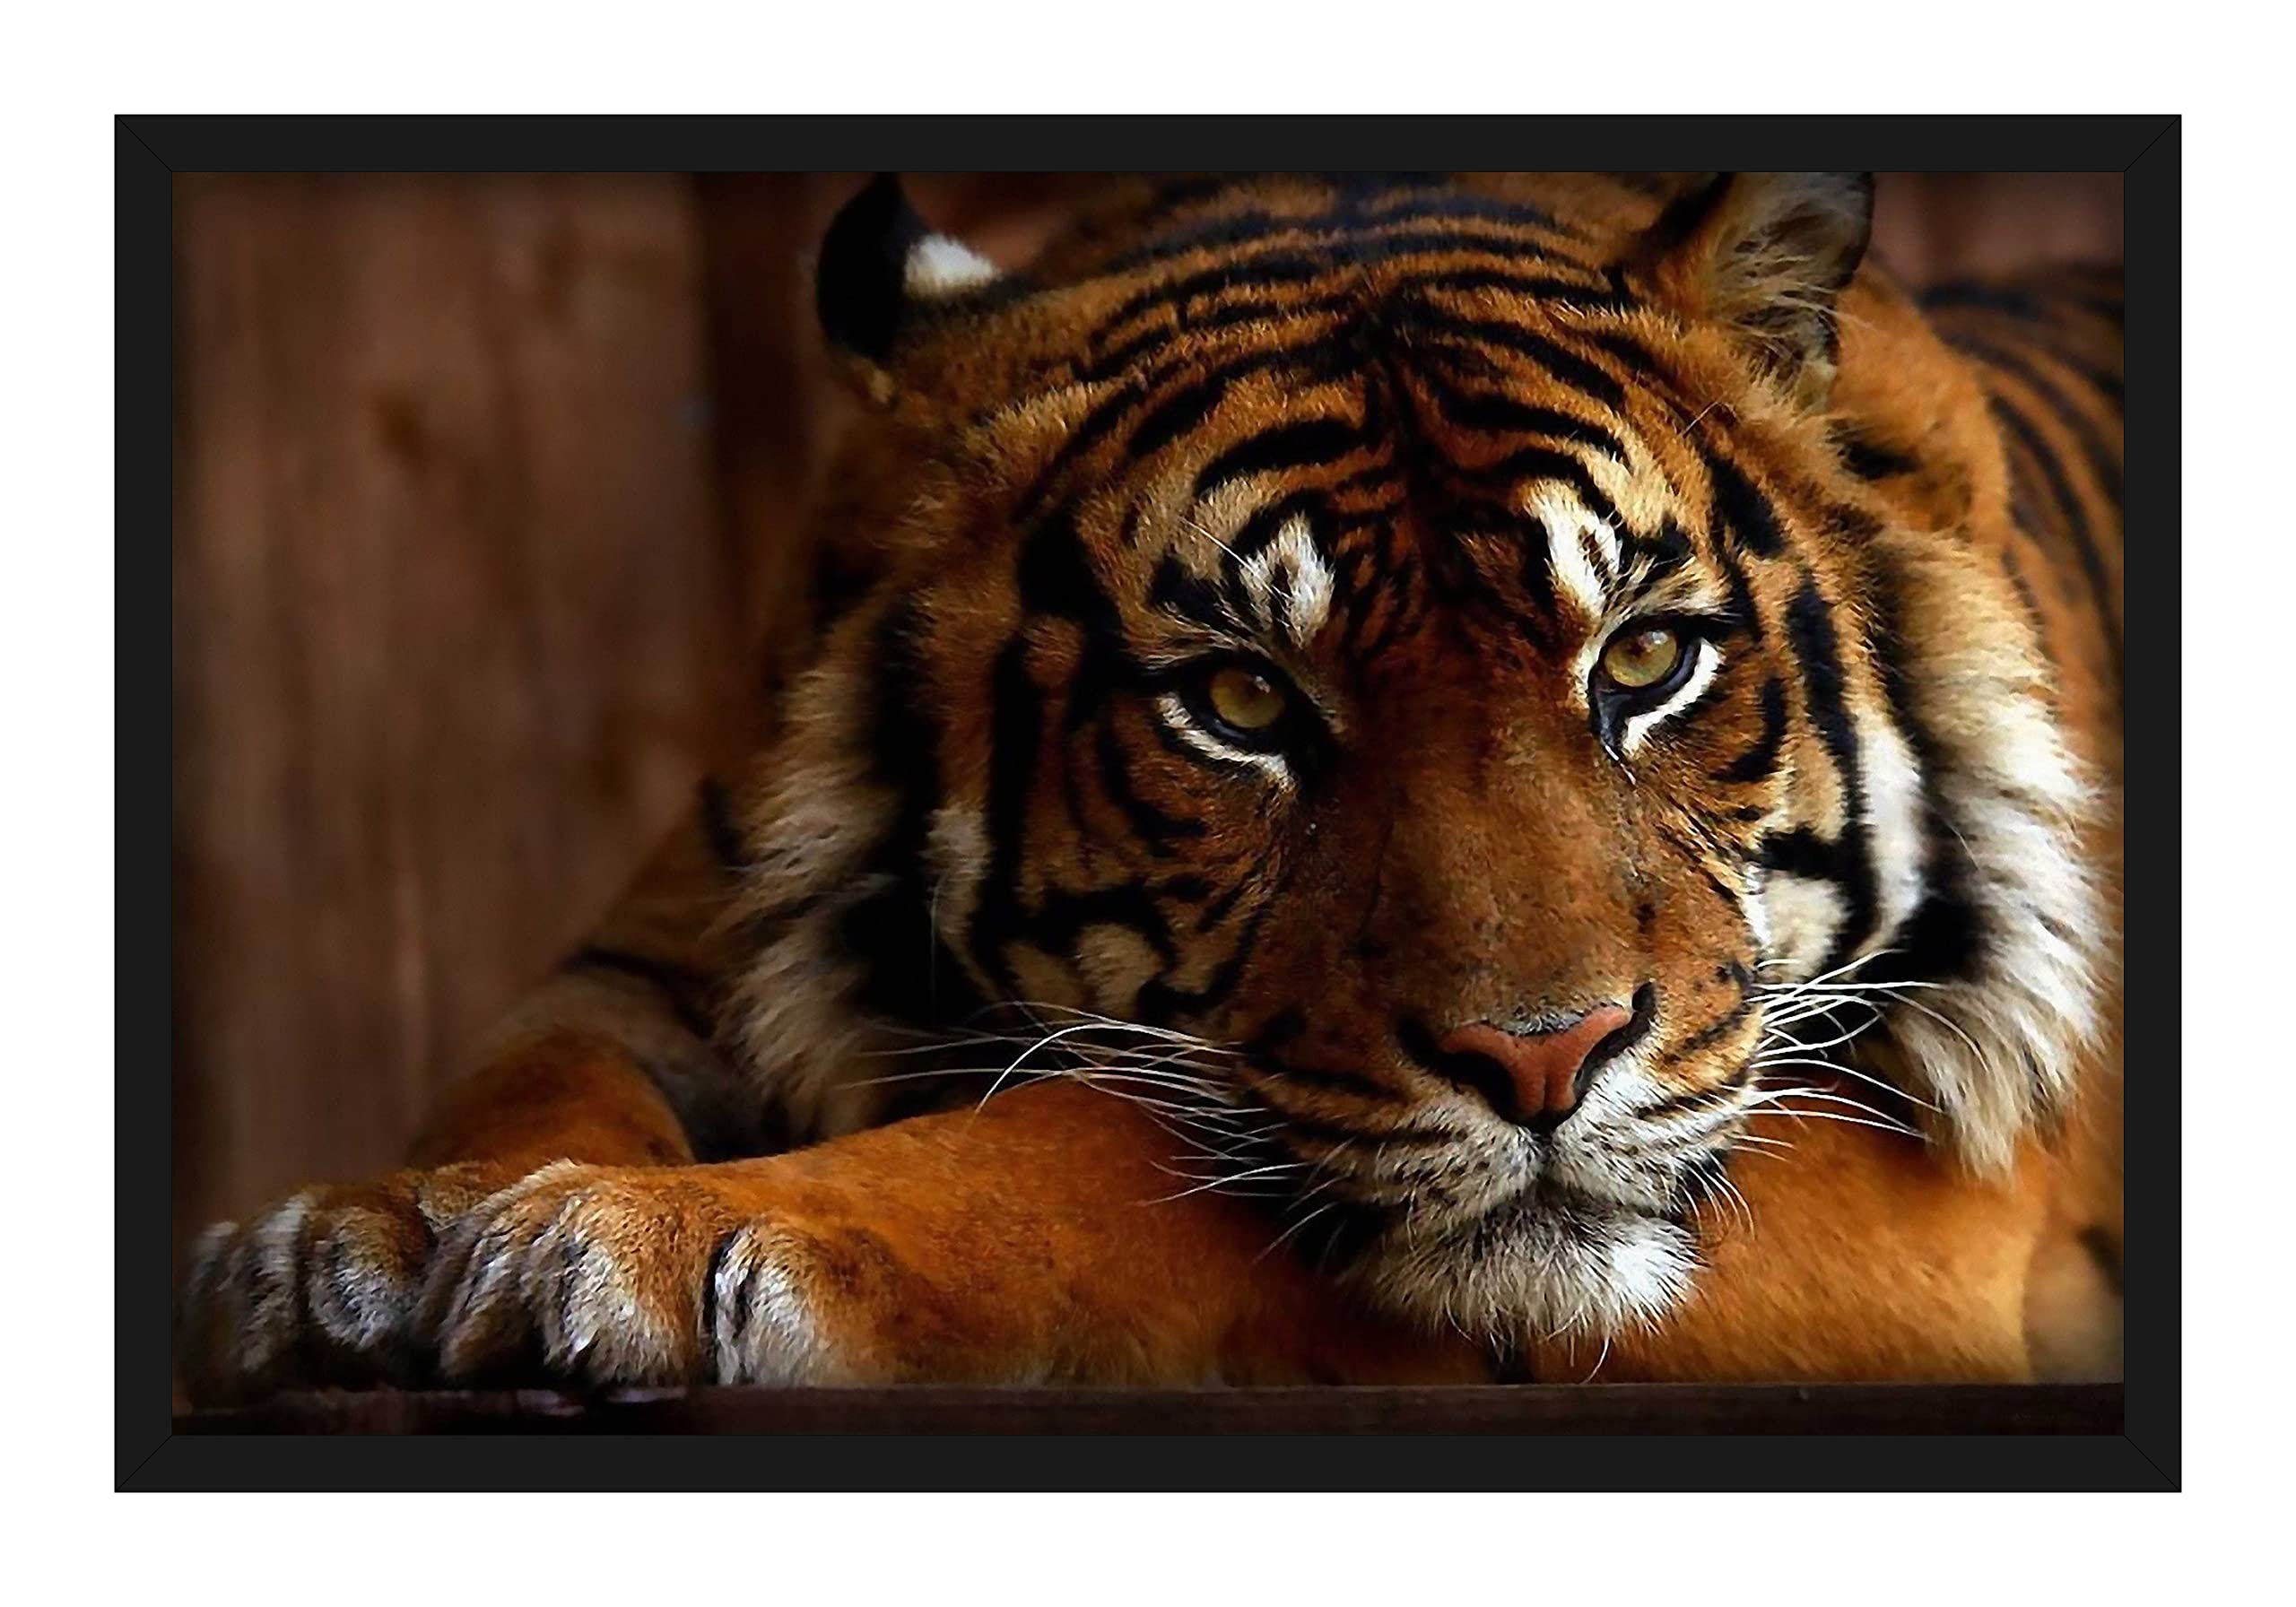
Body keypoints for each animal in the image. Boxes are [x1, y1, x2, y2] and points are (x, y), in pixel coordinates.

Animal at [177, 171, 2123, 1400]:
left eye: (1641, 662)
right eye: (1242, 700)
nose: (1543, 1059)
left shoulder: (1921, 1171)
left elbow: (1095, 1141)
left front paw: (656, 1241)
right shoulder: (658, 956)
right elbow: (530, 1073)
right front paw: (351, 1245)